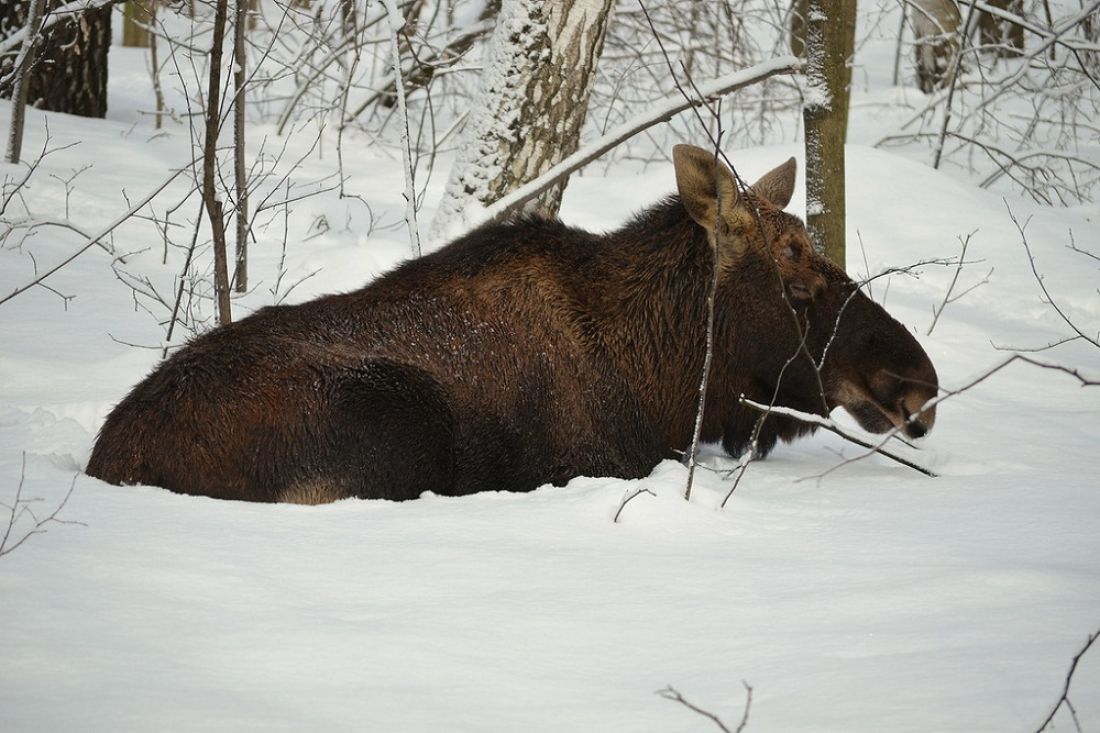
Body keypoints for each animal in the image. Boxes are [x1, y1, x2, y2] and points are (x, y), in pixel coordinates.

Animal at [90, 143, 941, 501]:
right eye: (795, 274)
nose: (918, 382)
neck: (659, 376)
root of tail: (109, 460)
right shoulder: (597, 462)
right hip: (393, 420)